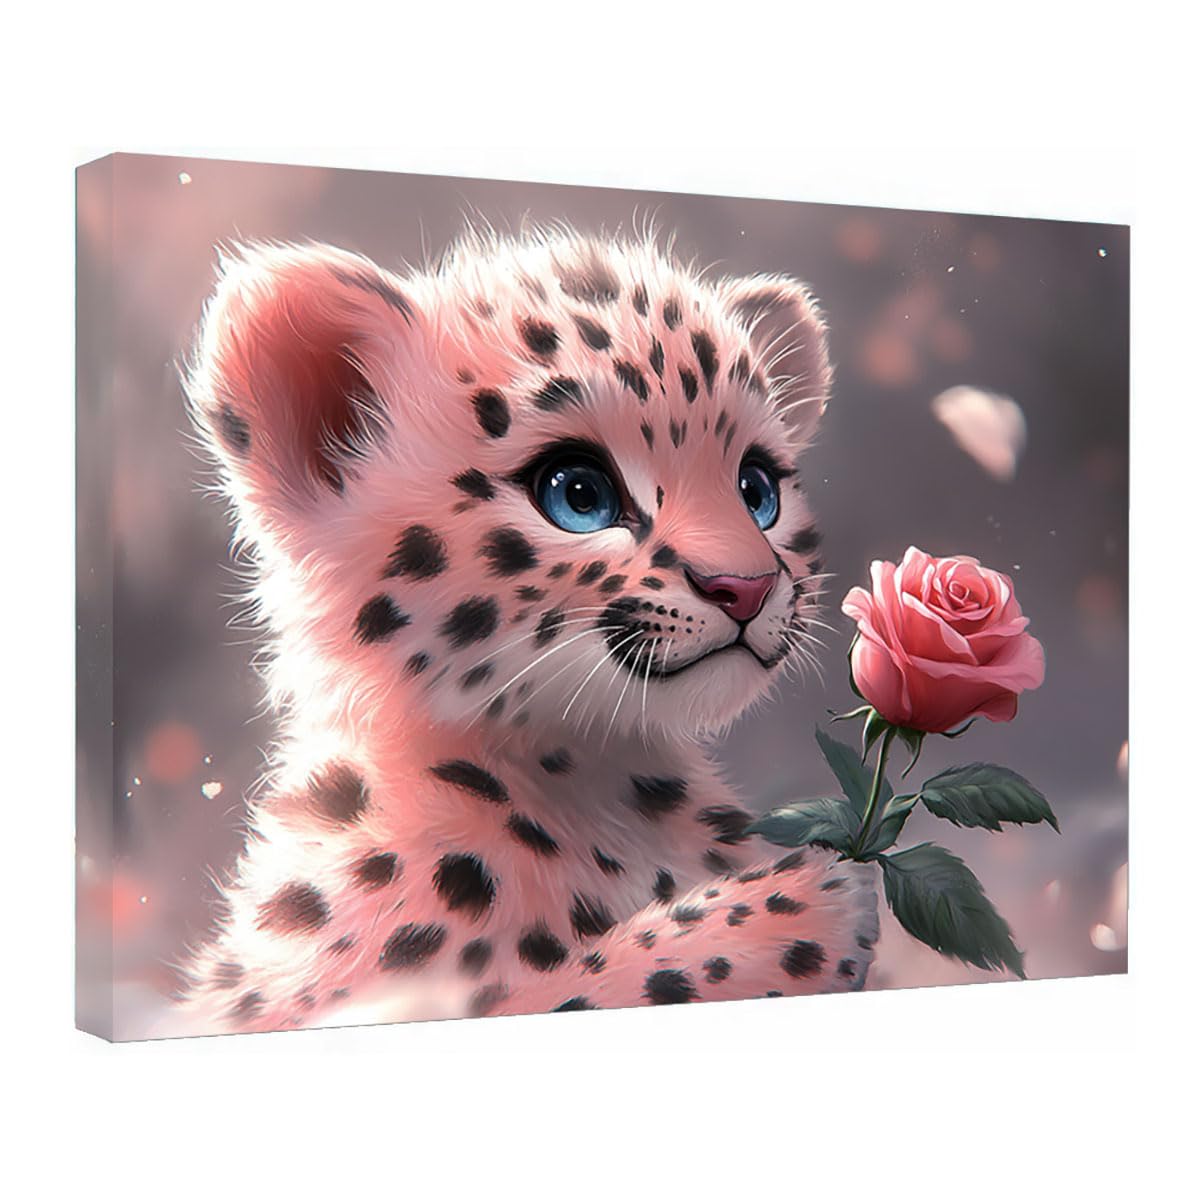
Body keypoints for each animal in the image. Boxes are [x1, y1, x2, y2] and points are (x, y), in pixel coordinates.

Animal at [172, 224, 879, 1034]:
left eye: (757, 488)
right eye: (578, 493)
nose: (747, 587)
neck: (603, 784)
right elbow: (569, 990)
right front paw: (802, 905)